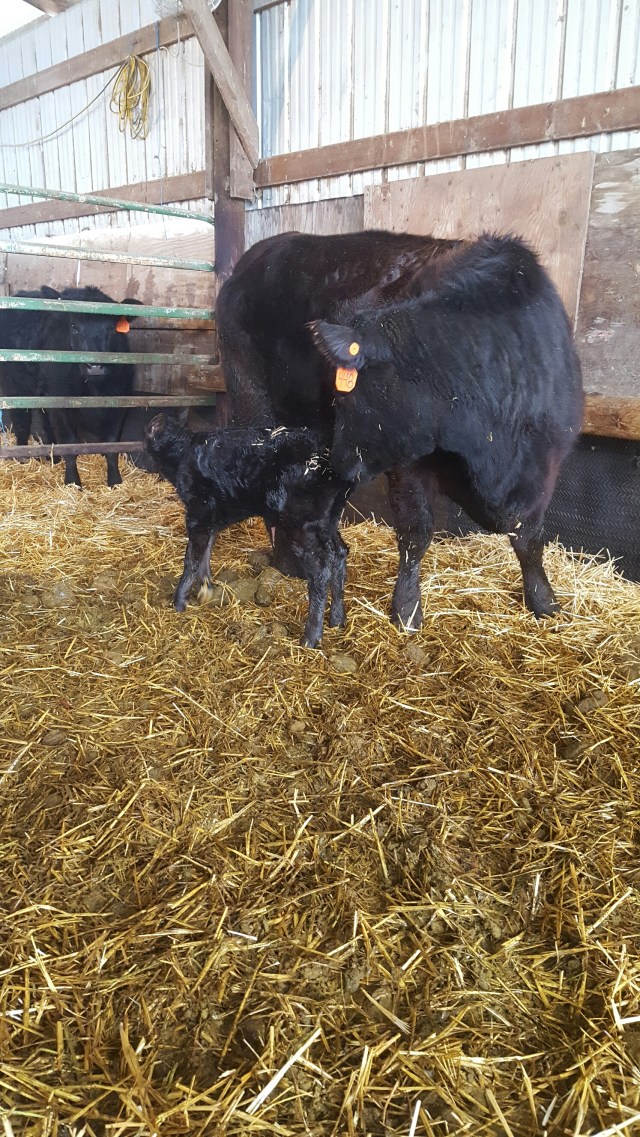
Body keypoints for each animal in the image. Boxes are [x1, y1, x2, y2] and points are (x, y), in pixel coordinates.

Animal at [0, 286, 140, 487]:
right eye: (74, 327)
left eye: (112, 328)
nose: (95, 366)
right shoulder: (62, 403)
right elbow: (70, 443)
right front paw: (73, 482)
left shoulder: (121, 402)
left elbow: (113, 443)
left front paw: (115, 481)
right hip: (17, 384)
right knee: (21, 422)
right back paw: (22, 457)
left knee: (45, 421)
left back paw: (53, 456)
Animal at [145, 414, 351, 647]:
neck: (182, 451)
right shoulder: (214, 514)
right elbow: (207, 548)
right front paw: (206, 586)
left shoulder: (198, 512)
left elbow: (192, 558)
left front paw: (179, 602)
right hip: (327, 520)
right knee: (339, 553)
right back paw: (337, 618)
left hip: (301, 521)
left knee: (320, 569)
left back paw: (311, 636)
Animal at [308, 234, 584, 626]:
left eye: (346, 395)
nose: (340, 462)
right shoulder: (409, 465)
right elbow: (416, 532)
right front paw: (407, 608)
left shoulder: (543, 468)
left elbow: (529, 538)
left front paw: (543, 600)